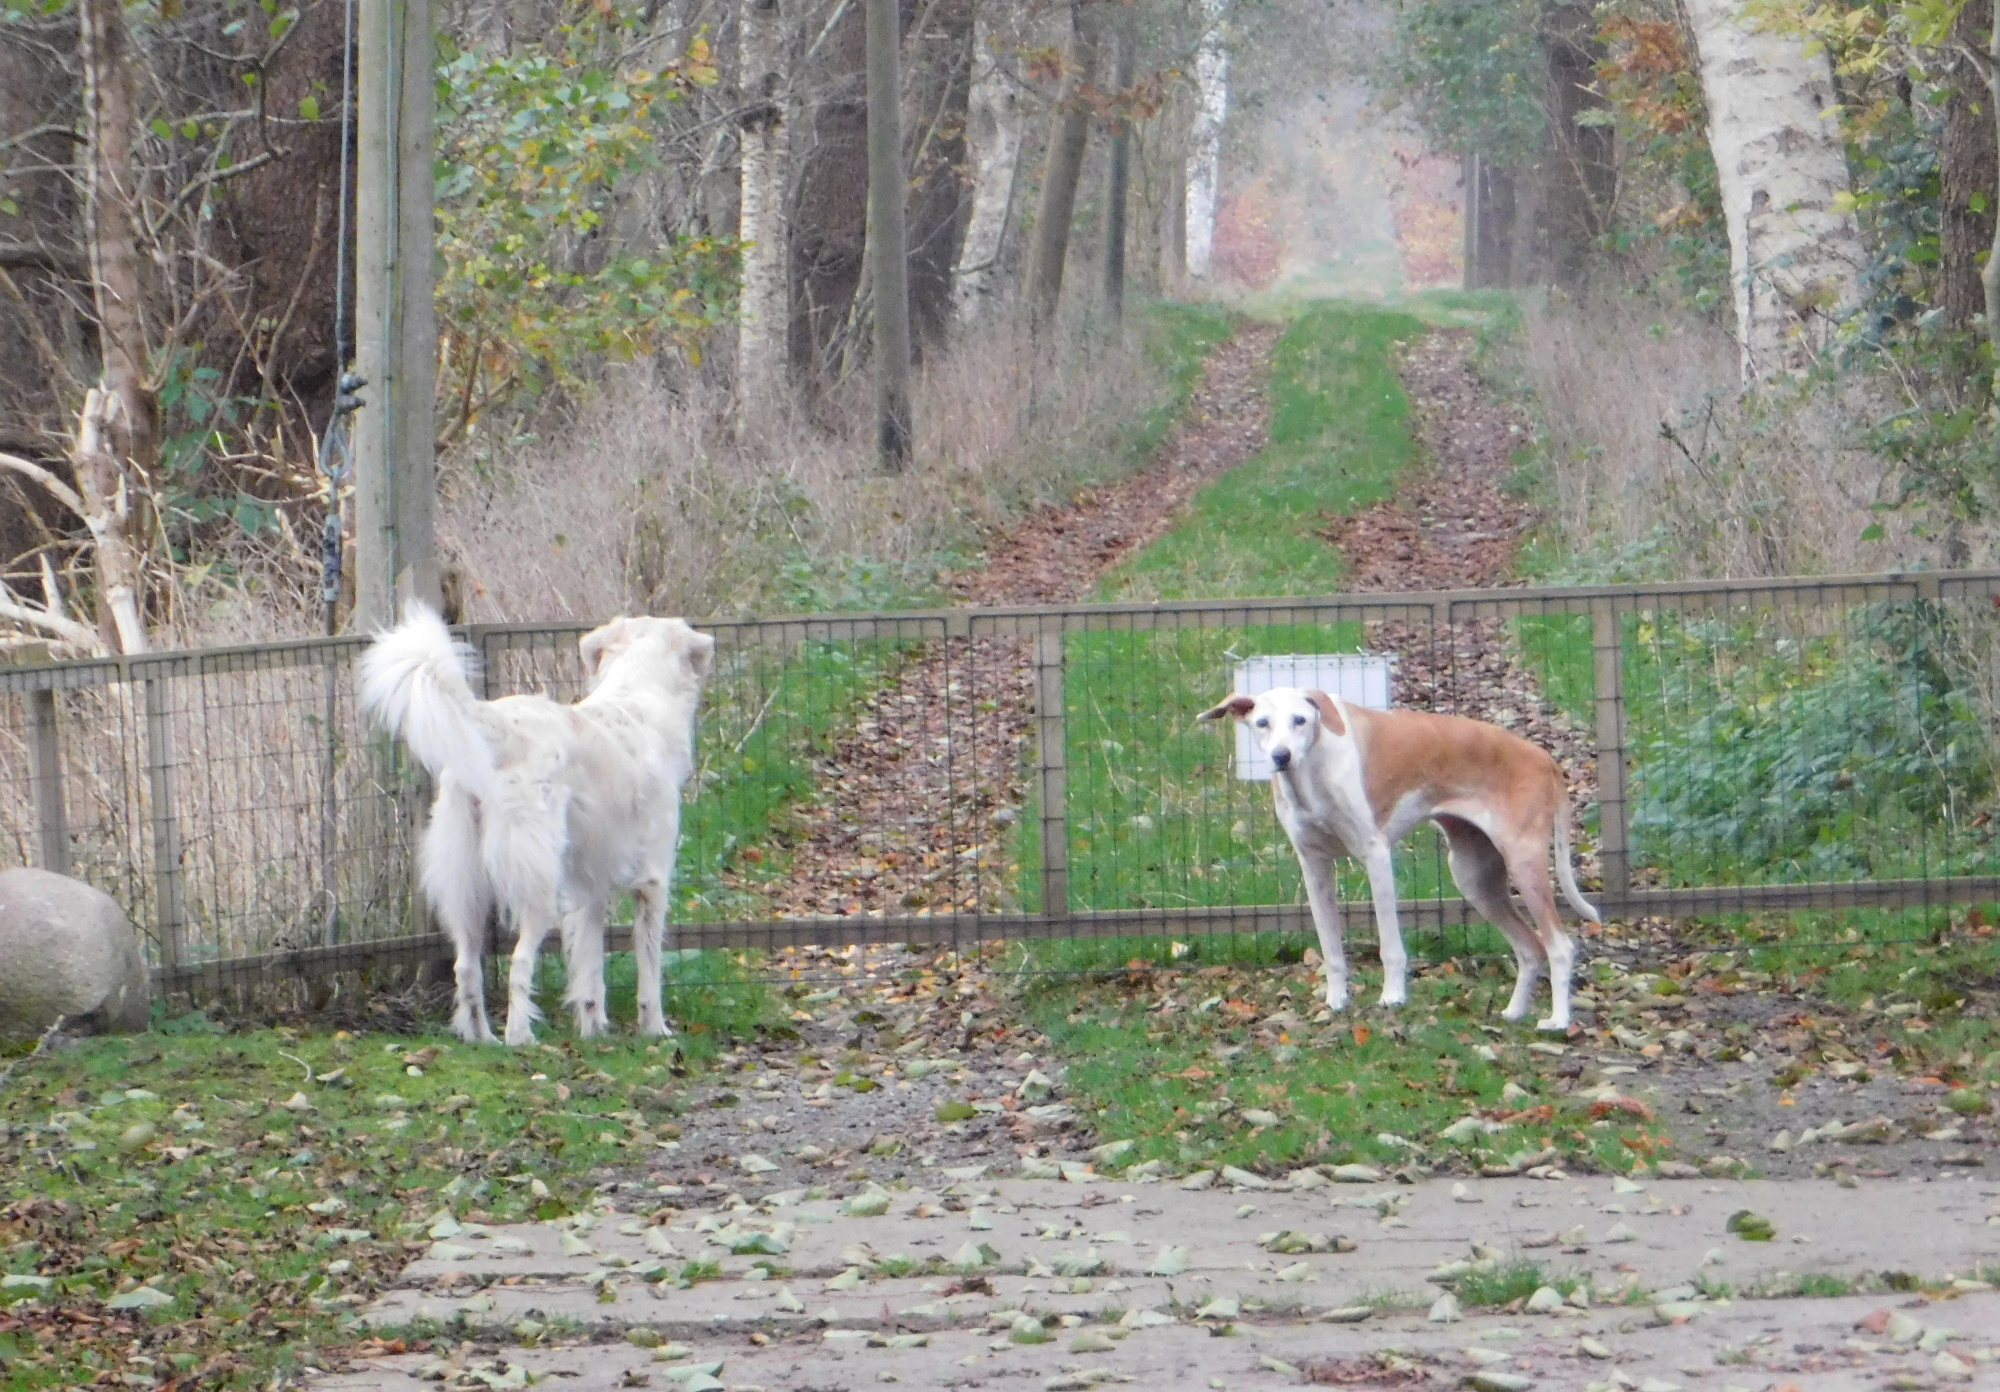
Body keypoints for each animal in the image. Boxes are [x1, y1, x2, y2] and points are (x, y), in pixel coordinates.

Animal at [360, 605, 714, 1045]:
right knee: (519, 962)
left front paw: (594, 1030)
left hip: (466, 885)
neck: (638, 698)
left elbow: (589, 966)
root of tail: (493, 722)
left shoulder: (590, 887)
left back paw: (483, 1039)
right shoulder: (652, 881)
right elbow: (649, 967)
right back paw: (520, 1037)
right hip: (537, 884)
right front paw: (656, 1030)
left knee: (467, 966)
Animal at [1199, 686, 1598, 1031]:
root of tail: (1544, 758)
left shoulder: (1375, 856)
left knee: (1559, 946)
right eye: (1262, 723)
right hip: (1473, 879)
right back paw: (1514, 1012)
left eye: (1300, 720)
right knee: (1530, 947)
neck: (1313, 770)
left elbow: (1390, 946)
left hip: (1523, 865)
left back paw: (1558, 1021)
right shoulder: (1314, 868)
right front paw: (1336, 1001)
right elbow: (1331, 949)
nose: (1281, 756)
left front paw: (1392, 997)